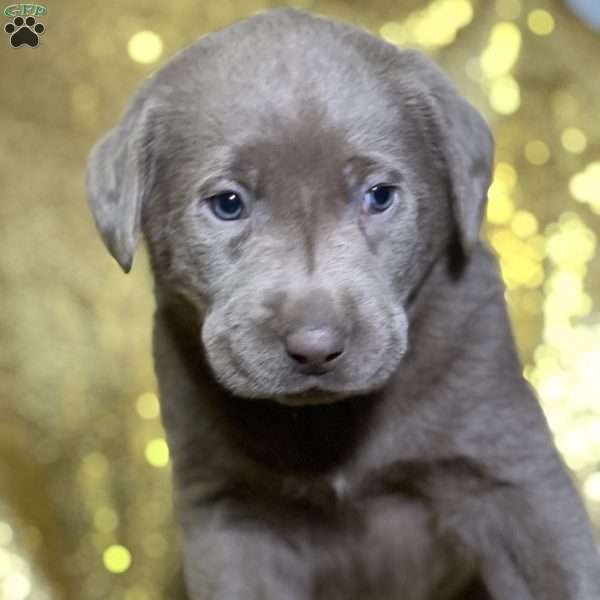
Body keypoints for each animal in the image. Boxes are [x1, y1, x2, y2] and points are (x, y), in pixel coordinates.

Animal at [84, 9, 600, 600]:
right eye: (228, 204)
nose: (315, 346)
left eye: (379, 196)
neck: (329, 423)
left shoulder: (513, 477)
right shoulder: (229, 514)